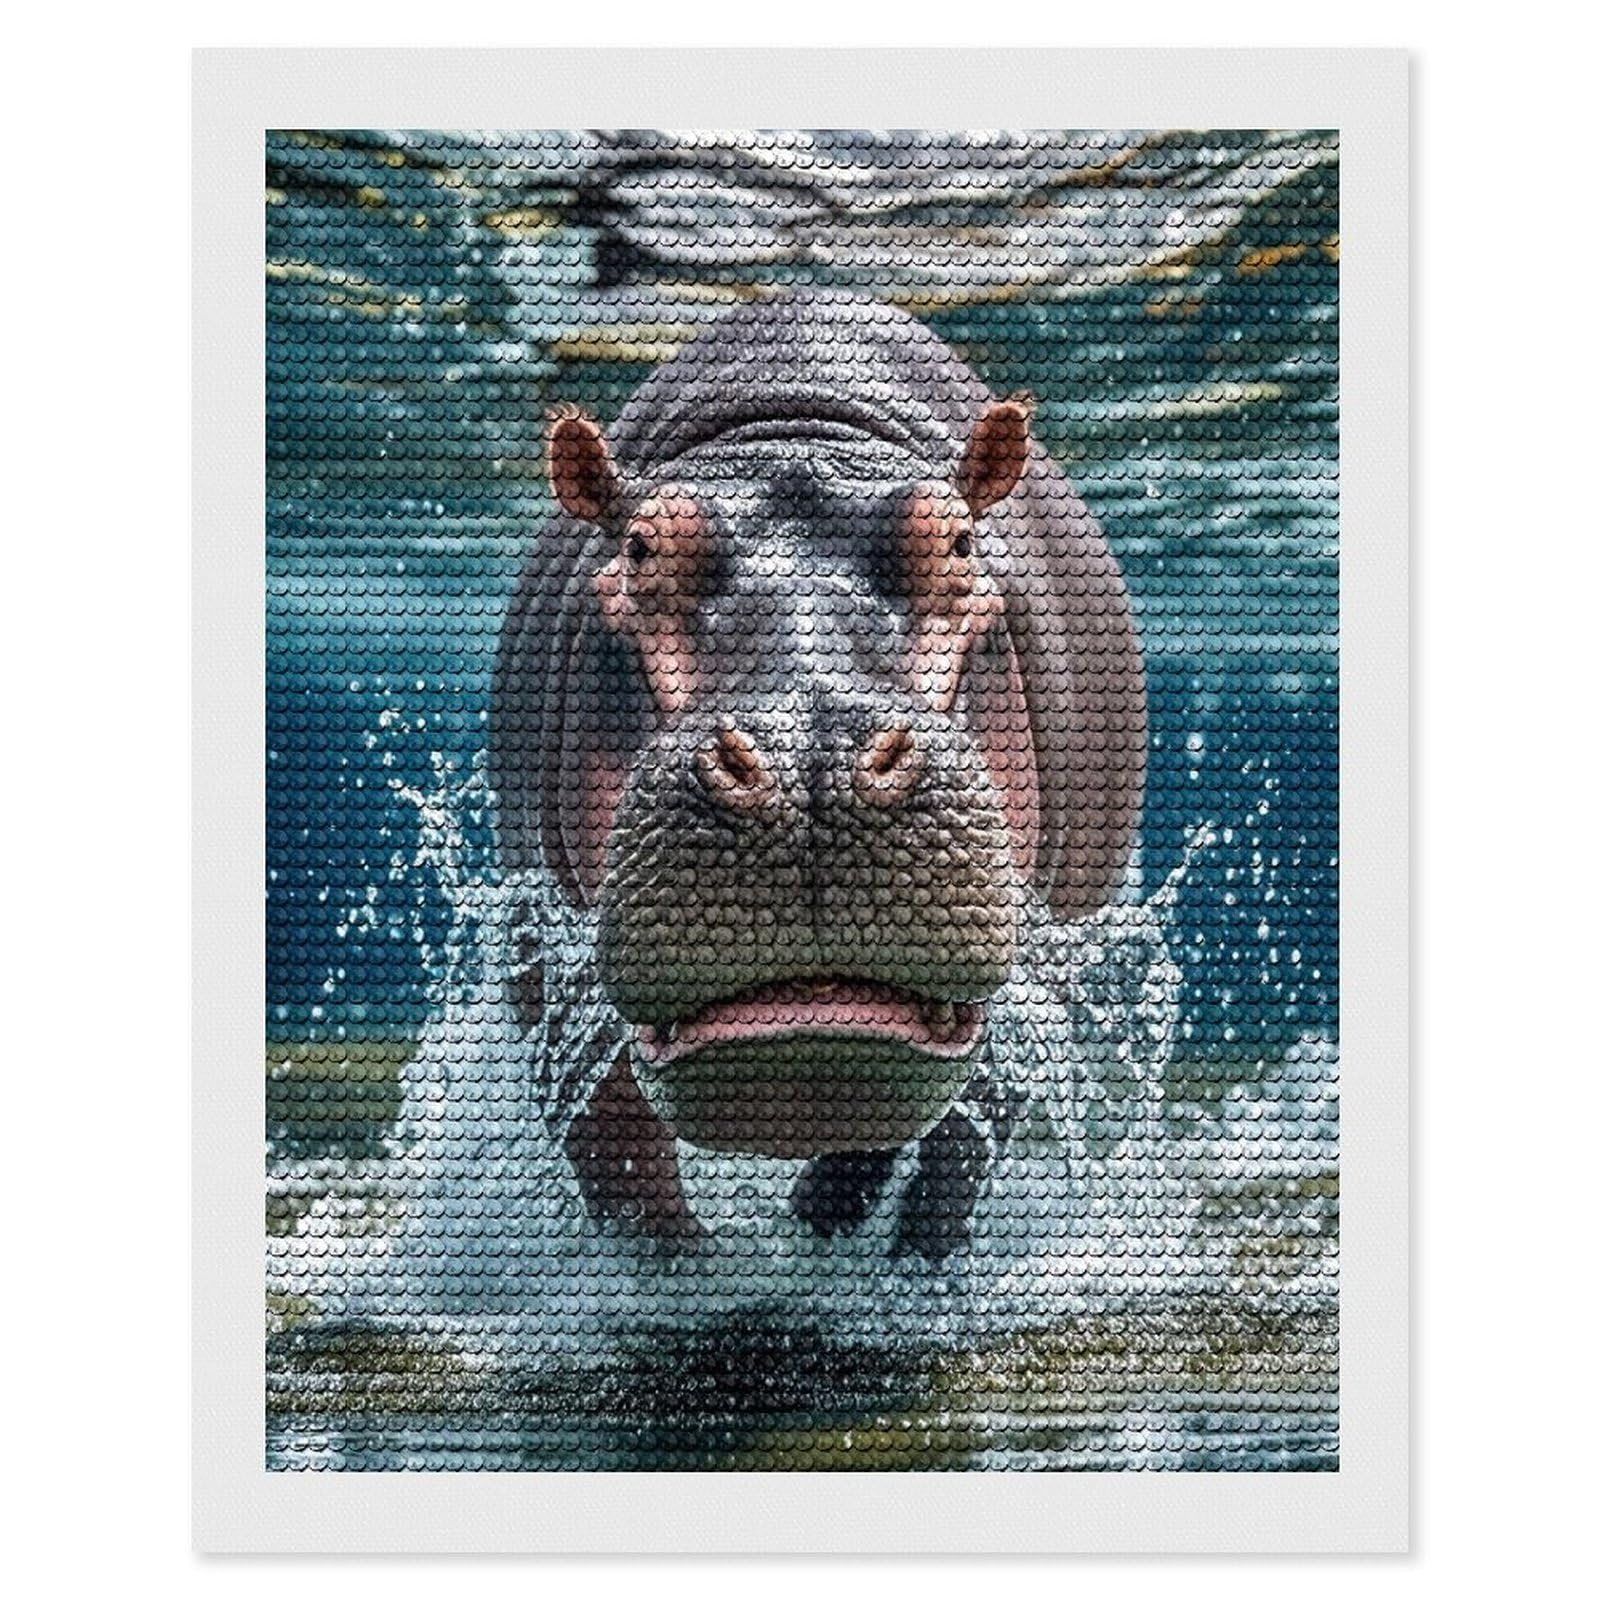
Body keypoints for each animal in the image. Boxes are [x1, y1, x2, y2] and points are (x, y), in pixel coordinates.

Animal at [491, 289, 1145, 1259]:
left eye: (958, 544)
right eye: (641, 549)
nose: (811, 758)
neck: (793, 429)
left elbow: (957, 1154)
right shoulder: (542, 949)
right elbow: (620, 1160)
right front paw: (675, 1276)